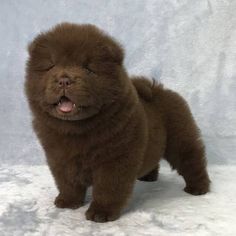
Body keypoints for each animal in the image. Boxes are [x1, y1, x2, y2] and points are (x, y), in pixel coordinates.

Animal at [25, 23, 210, 223]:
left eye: (88, 69)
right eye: (51, 66)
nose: (64, 80)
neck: (77, 130)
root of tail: (158, 90)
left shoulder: (115, 158)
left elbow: (108, 188)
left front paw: (101, 213)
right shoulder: (60, 157)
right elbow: (67, 182)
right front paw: (67, 202)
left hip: (180, 138)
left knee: (191, 160)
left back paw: (199, 188)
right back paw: (148, 176)